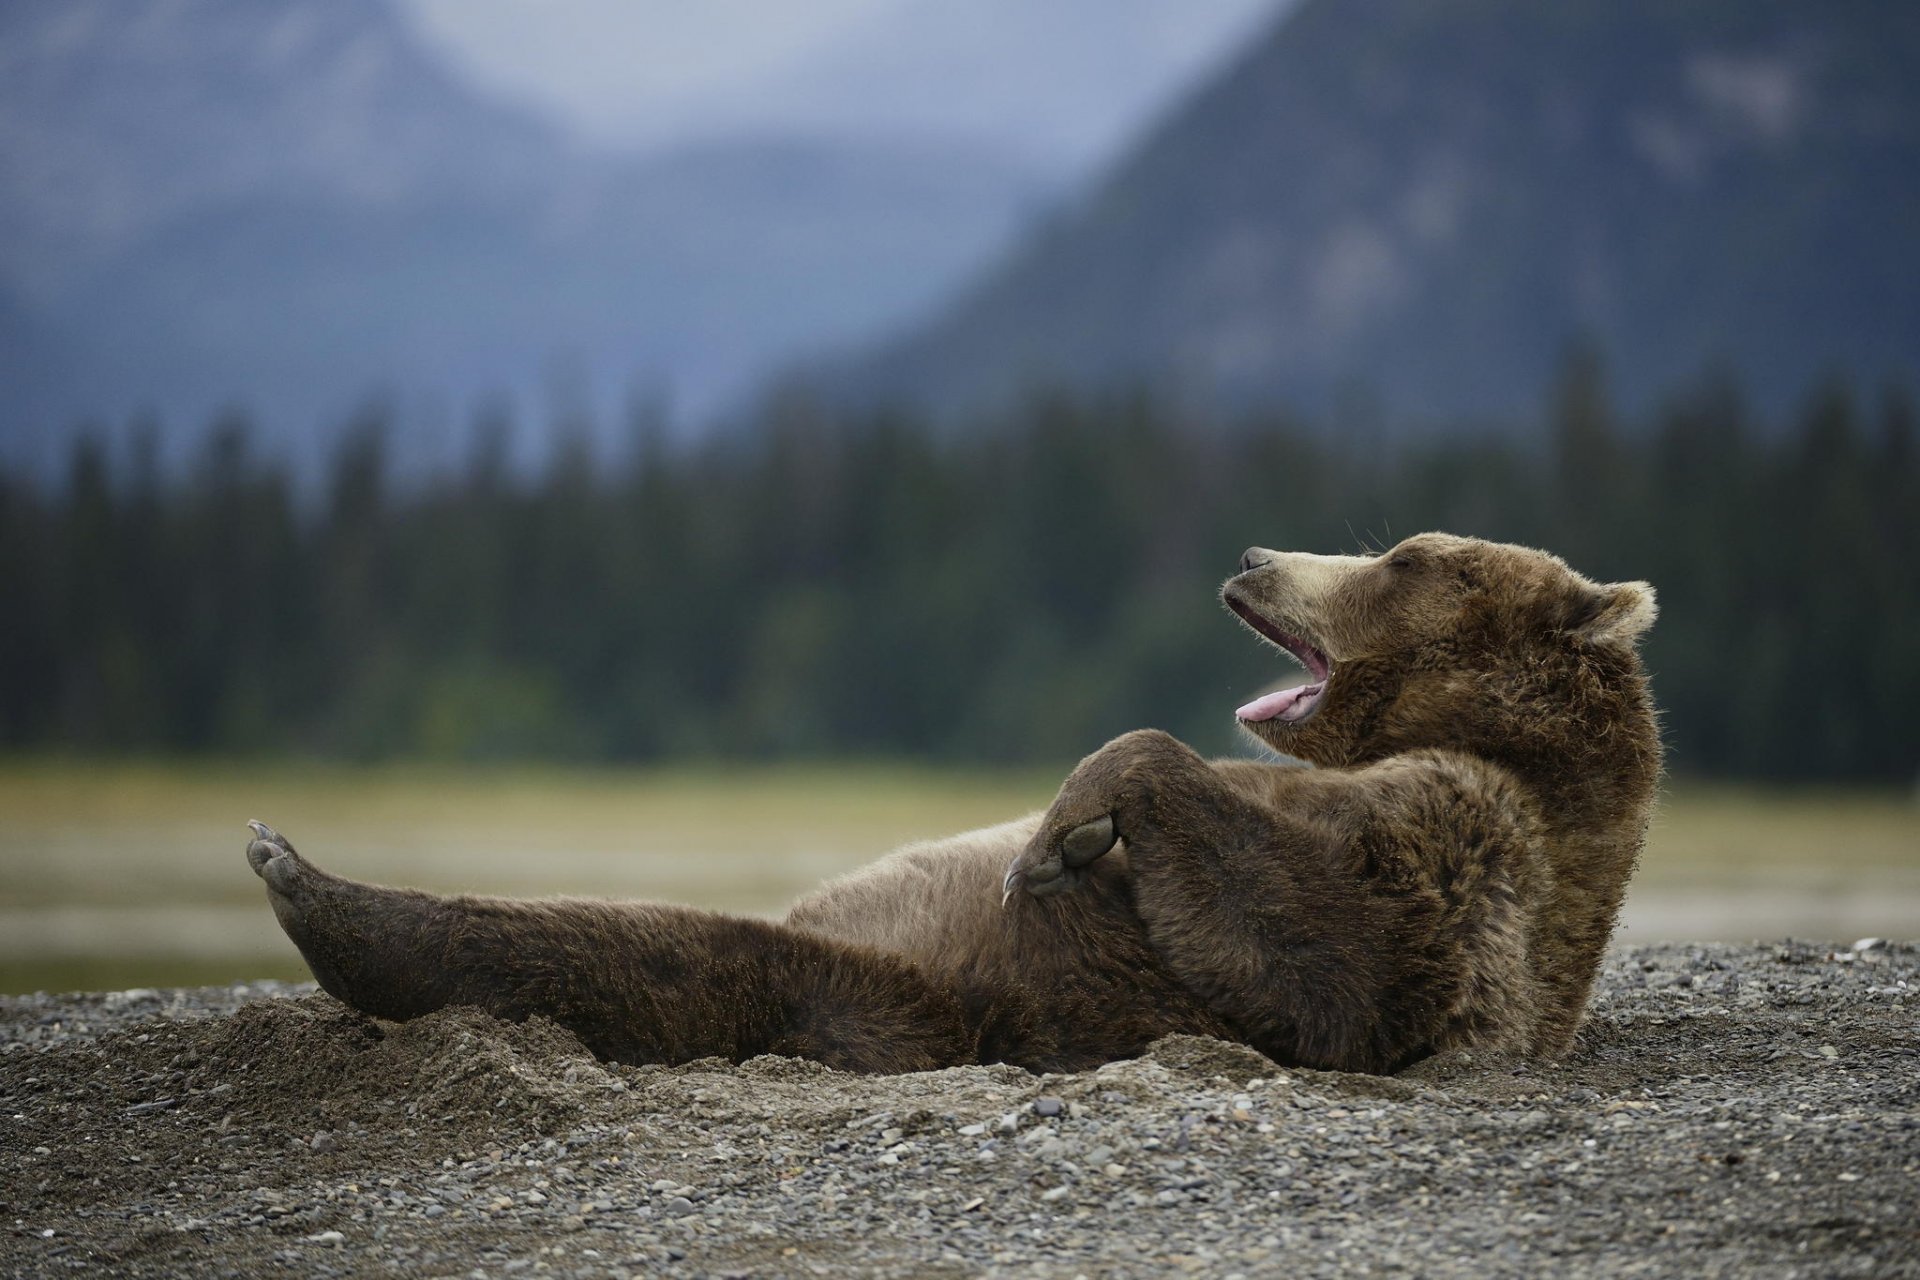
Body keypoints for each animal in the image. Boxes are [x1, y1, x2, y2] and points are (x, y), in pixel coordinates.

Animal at [244, 532, 1660, 1075]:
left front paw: (1062, 826)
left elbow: (1316, 956)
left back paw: (310, 880)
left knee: (662, 950)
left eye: (1404, 555)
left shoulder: (1466, 865)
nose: (1257, 555)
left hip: (904, 984)